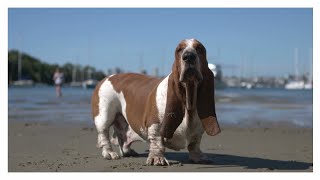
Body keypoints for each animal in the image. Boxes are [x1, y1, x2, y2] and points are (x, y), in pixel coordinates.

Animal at [90, 38, 220, 165]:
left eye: (199, 48)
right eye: (179, 50)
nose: (188, 56)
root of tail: (105, 78)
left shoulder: (198, 131)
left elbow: (194, 145)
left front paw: (199, 157)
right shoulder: (155, 125)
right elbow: (157, 142)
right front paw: (156, 158)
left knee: (122, 138)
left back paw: (129, 151)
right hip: (104, 117)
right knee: (104, 135)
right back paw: (109, 153)